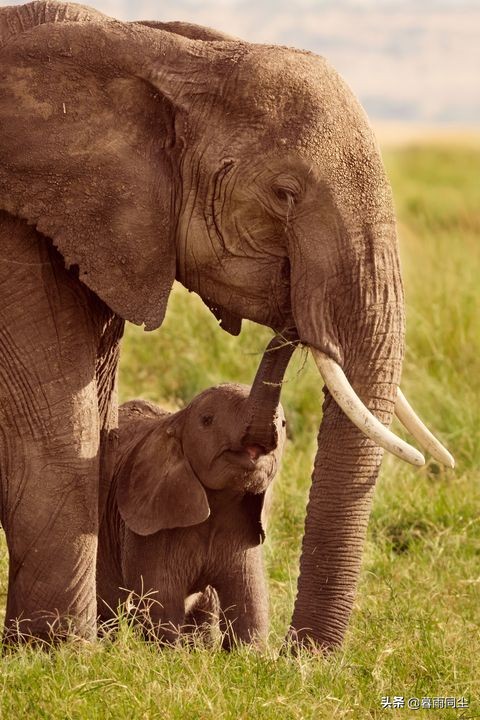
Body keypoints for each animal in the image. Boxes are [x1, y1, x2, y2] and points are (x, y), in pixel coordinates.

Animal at [96, 338, 294, 648]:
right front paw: (167, 653)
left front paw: (249, 654)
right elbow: (161, 604)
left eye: (284, 425)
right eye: (207, 420)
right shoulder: (149, 528)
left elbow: (250, 605)